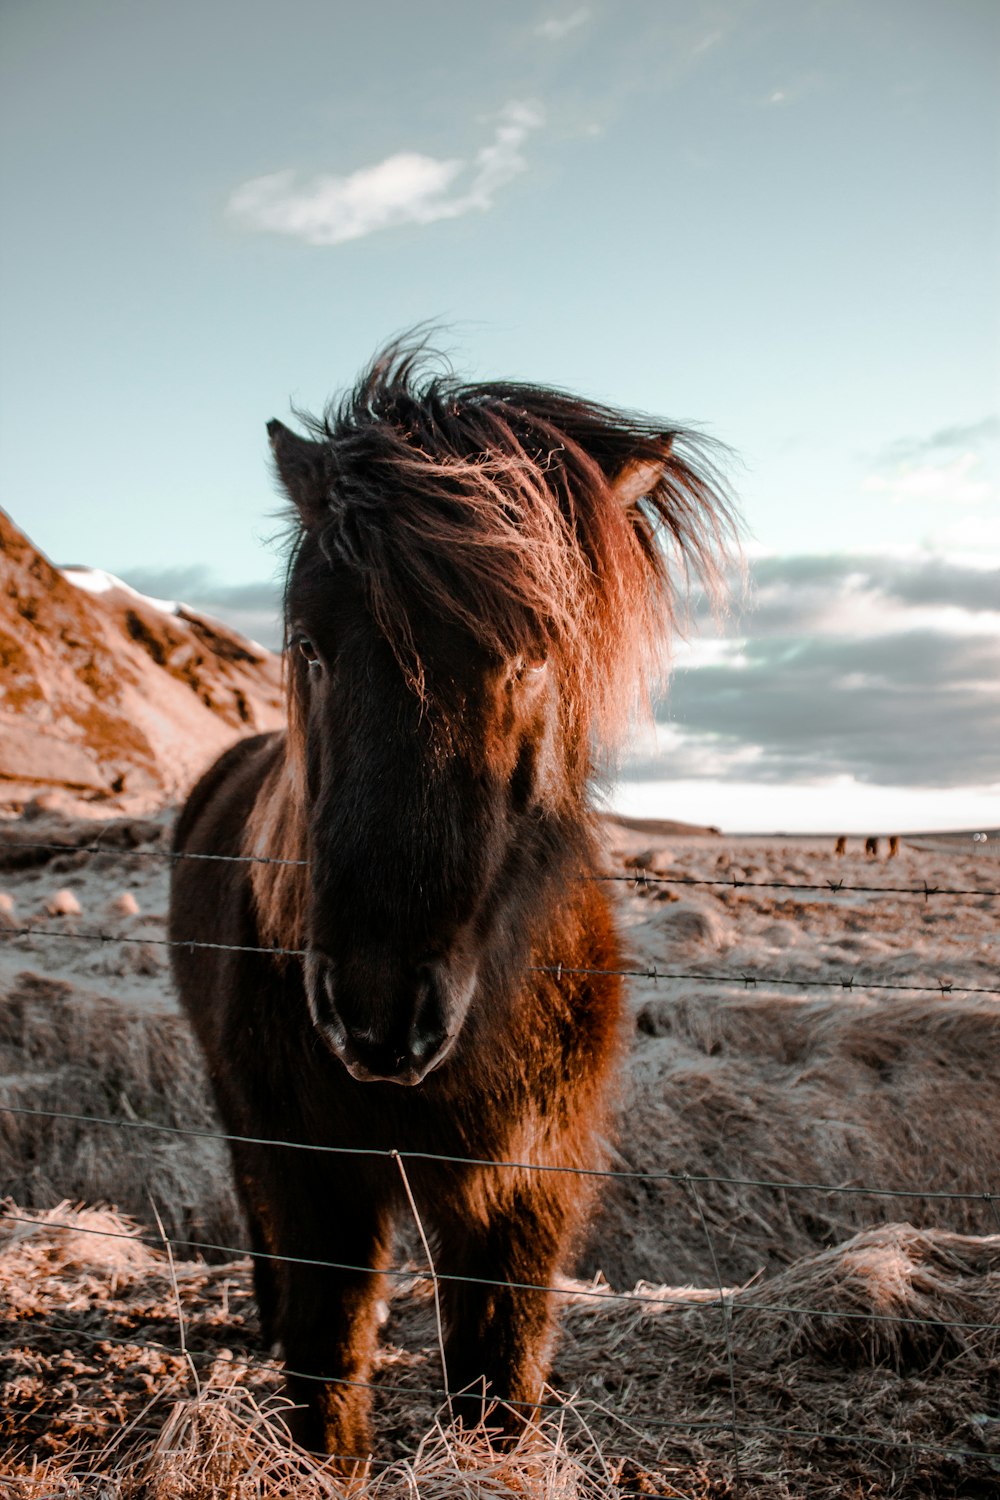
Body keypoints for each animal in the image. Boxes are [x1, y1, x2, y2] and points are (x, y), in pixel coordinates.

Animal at [170, 343, 734, 1464]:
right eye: (310, 646)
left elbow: (498, 1383)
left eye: (534, 655)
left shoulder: (520, 1192)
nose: (378, 1013)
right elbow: (327, 1368)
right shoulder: (320, 1176)